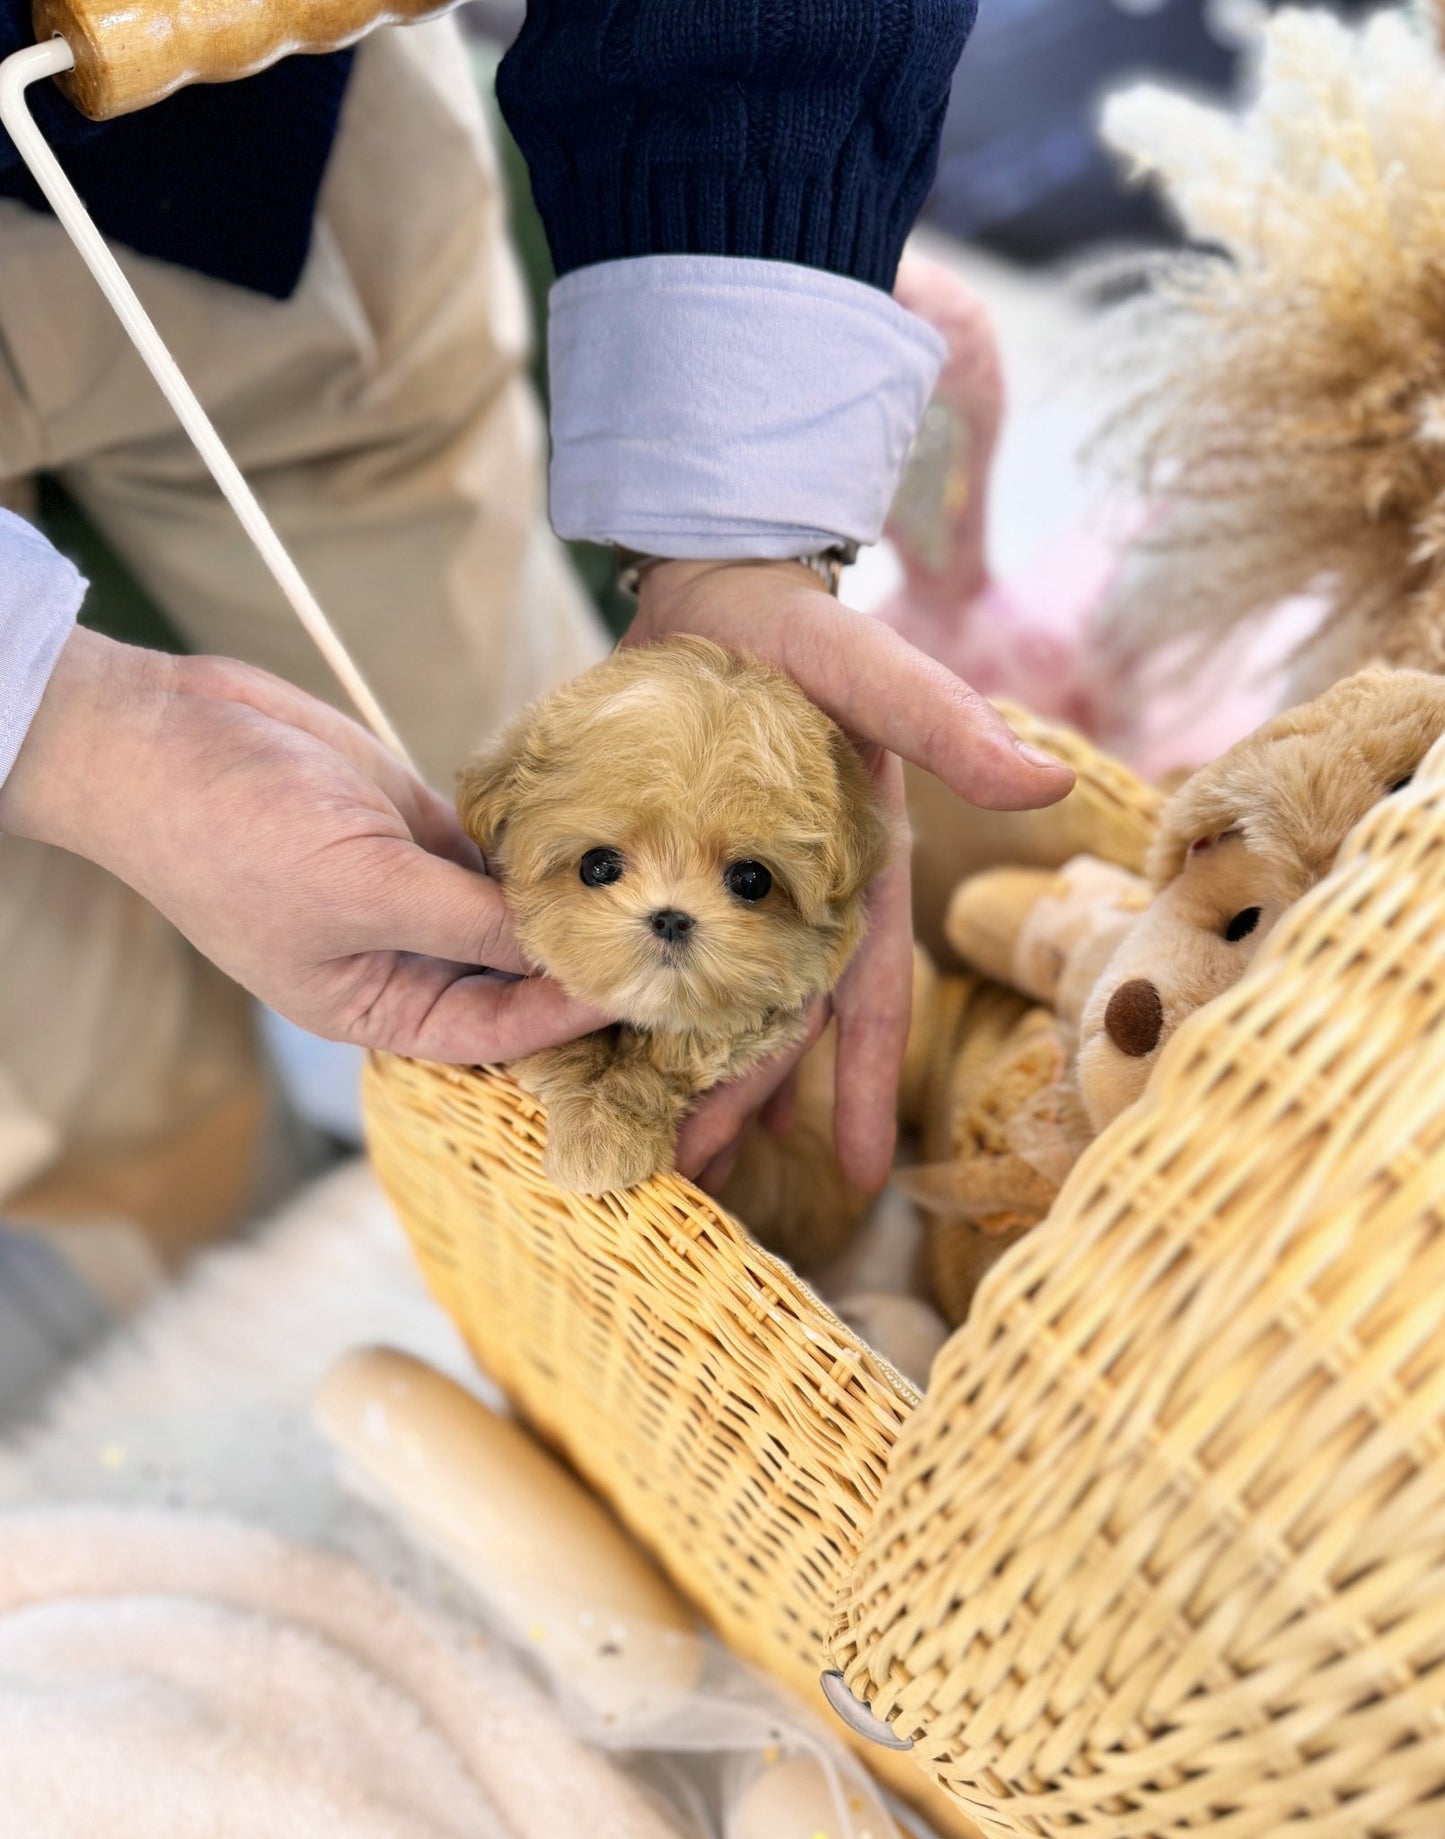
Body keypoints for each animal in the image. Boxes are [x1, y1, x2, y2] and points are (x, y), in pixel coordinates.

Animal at [455, 639, 882, 1199]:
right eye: (597, 866)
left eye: (752, 880)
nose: (672, 918)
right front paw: (590, 1111)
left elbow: (687, 1048)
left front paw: (606, 1130)